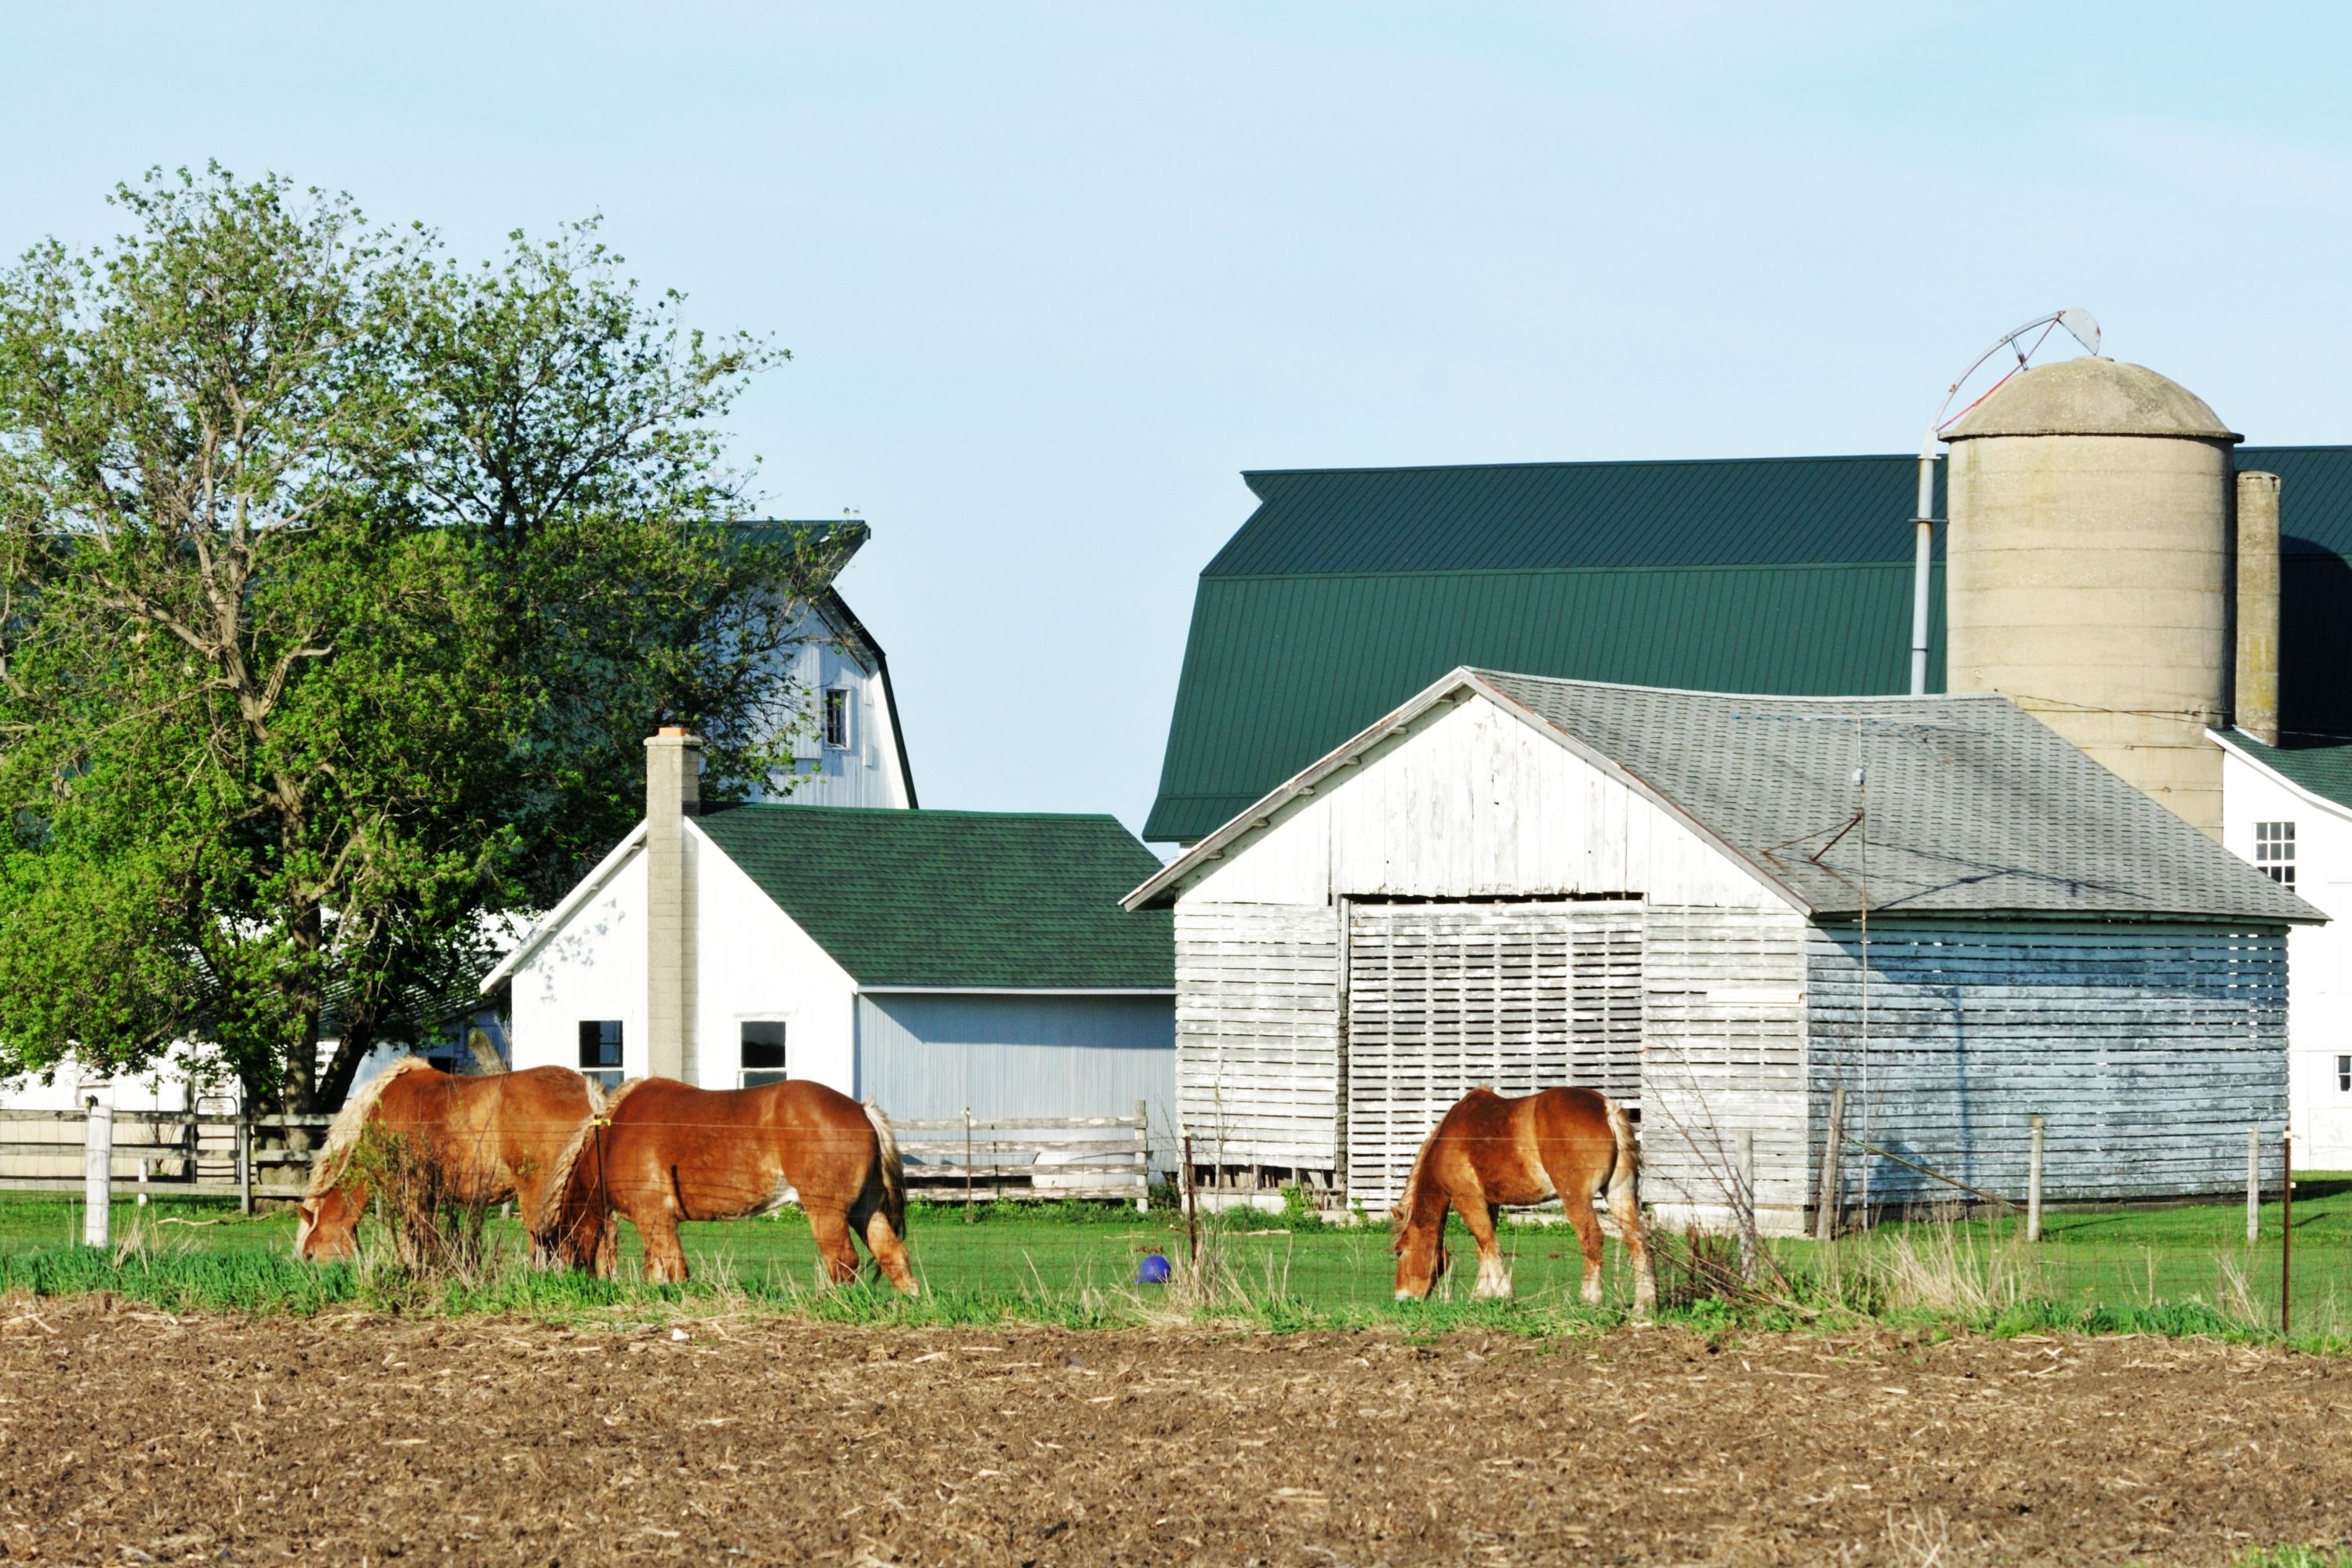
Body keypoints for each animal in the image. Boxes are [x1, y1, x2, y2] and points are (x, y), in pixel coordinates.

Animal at [539, 1072, 913, 1298]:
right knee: (893, 1255)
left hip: (828, 1213)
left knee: (842, 1262)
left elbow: (676, 1271)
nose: (571, 1284)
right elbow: (657, 1274)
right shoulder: (655, 1225)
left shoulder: (655, 1219)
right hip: (865, 1210)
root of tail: (862, 1110)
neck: (613, 1137)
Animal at [1392, 1086, 1656, 1316]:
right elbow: (1483, 1248)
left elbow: (1488, 1243)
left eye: (1399, 1252)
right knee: (1637, 1239)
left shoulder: (1467, 1199)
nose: (1402, 1299)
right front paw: (1482, 1295)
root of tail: (1608, 1109)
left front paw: (1501, 1293)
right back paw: (1643, 1305)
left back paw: (1590, 1299)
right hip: (1620, 1194)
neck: (1447, 1140)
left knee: (1592, 1239)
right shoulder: (1490, 1203)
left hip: (1577, 1199)